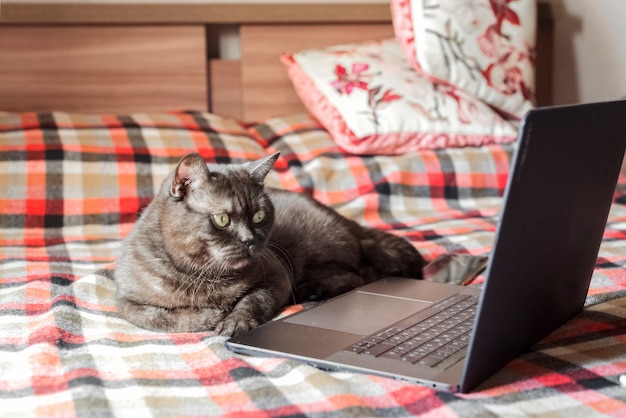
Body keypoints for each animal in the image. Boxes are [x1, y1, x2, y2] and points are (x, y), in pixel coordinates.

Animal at [113, 153, 424, 336]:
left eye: (259, 216)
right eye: (222, 219)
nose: (250, 240)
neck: (204, 275)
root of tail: (345, 219)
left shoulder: (276, 277)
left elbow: (253, 300)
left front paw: (234, 322)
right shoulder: (125, 302)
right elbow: (159, 317)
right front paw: (209, 318)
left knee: (361, 275)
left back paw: (312, 290)